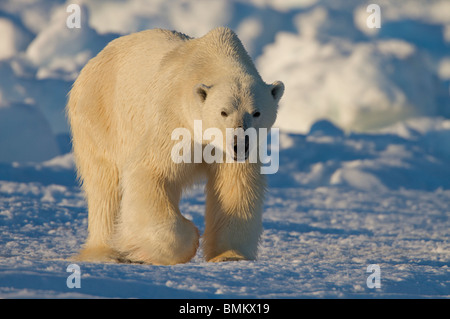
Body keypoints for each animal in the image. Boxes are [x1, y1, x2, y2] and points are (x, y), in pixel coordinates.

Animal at [67, 27, 284, 266]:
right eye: (223, 112)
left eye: (256, 112)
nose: (240, 145)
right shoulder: (173, 120)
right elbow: (151, 172)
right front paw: (187, 237)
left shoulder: (231, 153)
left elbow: (236, 187)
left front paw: (229, 255)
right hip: (100, 116)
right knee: (104, 184)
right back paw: (108, 251)